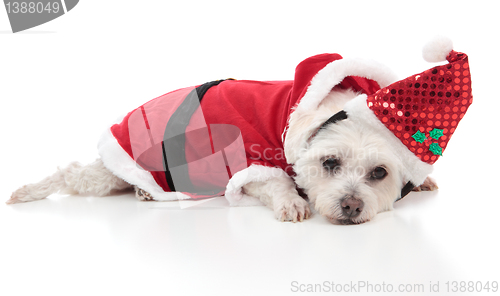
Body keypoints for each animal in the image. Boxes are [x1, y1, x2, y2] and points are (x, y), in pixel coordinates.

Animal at [8, 38, 472, 225]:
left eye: (380, 173)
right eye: (330, 163)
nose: (352, 207)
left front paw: (422, 178)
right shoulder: (252, 160)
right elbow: (275, 183)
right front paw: (292, 201)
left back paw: (142, 192)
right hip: (108, 167)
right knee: (71, 173)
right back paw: (26, 191)